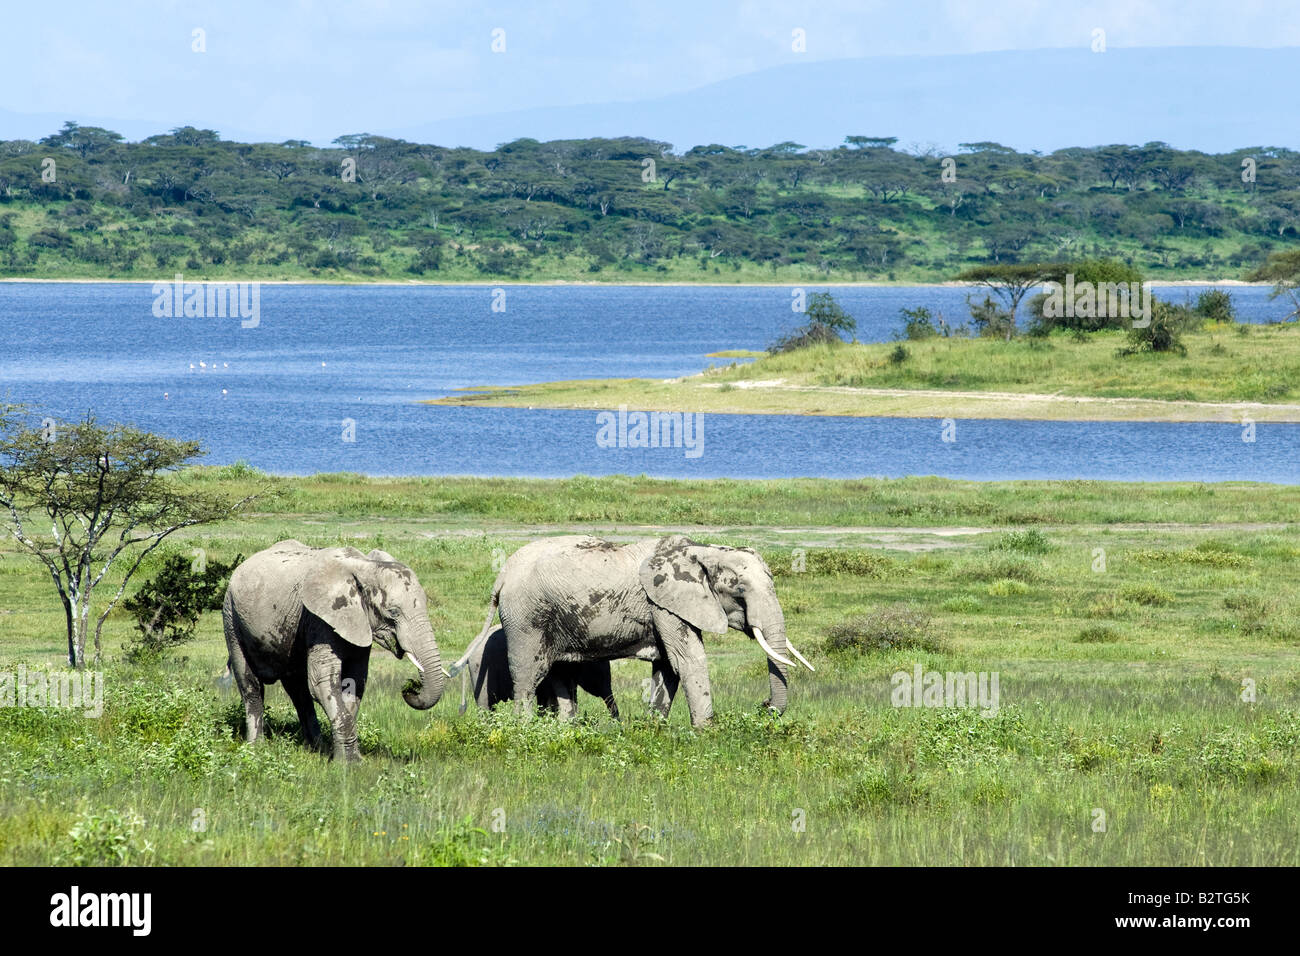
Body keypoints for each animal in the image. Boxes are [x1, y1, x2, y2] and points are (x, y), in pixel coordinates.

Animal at [223, 541, 447, 764]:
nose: (411, 687)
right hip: (231, 617)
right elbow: (322, 683)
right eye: (393, 612)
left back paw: (316, 748)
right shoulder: (320, 619)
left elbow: (355, 682)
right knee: (250, 685)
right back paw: (255, 749)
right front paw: (350, 765)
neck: (364, 566)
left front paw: (343, 757)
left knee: (298, 690)